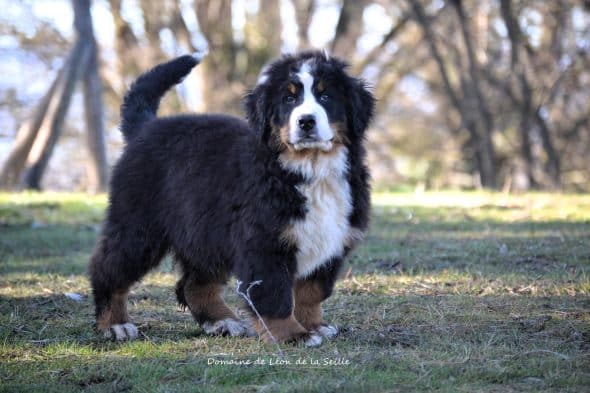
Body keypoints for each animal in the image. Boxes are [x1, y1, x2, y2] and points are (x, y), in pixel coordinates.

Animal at [89, 49, 374, 346]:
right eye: (289, 98)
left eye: (326, 96)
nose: (306, 121)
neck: (310, 169)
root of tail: (146, 128)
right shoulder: (264, 242)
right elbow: (274, 294)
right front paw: (292, 335)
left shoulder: (330, 241)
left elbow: (311, 291)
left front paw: (314, 325)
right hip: (139, 227)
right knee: (109, 268)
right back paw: (115, 323)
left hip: (204, 234)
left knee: (193, 284)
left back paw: (221, 322)